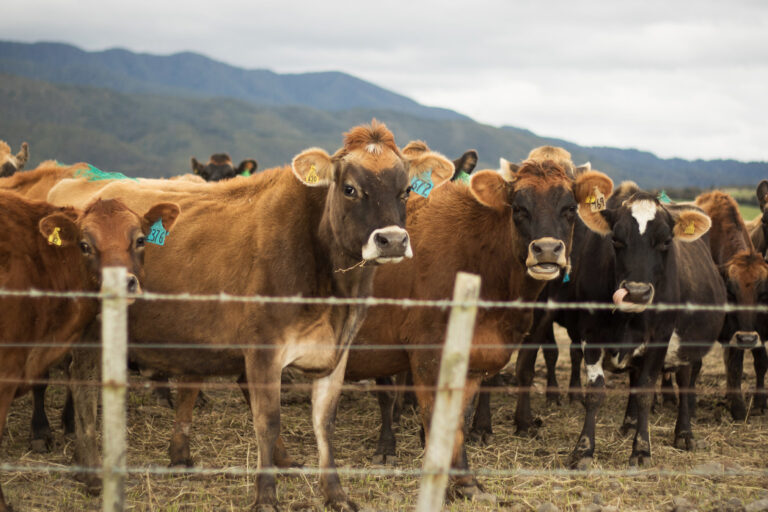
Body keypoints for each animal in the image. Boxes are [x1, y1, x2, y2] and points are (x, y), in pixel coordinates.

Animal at [46, 121, 456, 512]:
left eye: (406, 190)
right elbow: (267, 421)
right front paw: (266, 498)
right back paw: (90, 471)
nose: (392, 241)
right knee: (83, 386)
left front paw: (336, 495)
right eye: (350, 189)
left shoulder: (335, 353)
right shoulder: (262, 350)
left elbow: (324, 423)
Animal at [344, 159, 616, 496]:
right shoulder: (427, 357)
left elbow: (459, 417)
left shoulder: (473, 362)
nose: (547, 250)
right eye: (519, 208)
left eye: (569, 209)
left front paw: (465, 481)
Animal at [568, 184, 728, 468]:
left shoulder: (660, 338)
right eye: (615, 239)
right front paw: (584, 448)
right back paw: (630, 423)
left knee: (685, 380)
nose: (637, 292)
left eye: (666, 241)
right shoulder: (590, 334)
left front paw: (641, 449)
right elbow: (595, 392)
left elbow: (645, 392)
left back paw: (684, 433)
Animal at [696, 190, 768, 418]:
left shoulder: (737, 330)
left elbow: (736, 364)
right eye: (732, 292)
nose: (747, 338)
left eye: (762, 293)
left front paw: (737, 406)